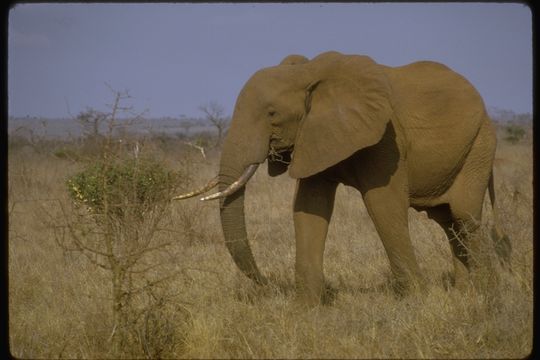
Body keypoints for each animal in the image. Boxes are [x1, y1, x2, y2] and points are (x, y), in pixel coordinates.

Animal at [176, 50, 510, 304]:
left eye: (271, 114)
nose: (267, 282)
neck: (308, 73)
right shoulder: (314, 134)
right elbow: (309, 207)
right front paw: (306, 309)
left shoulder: (386, 137)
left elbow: (383, 205)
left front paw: (417, 301)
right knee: (448, 221)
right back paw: (465, 292)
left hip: (480, 144)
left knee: (464, 216)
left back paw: (487, 294)